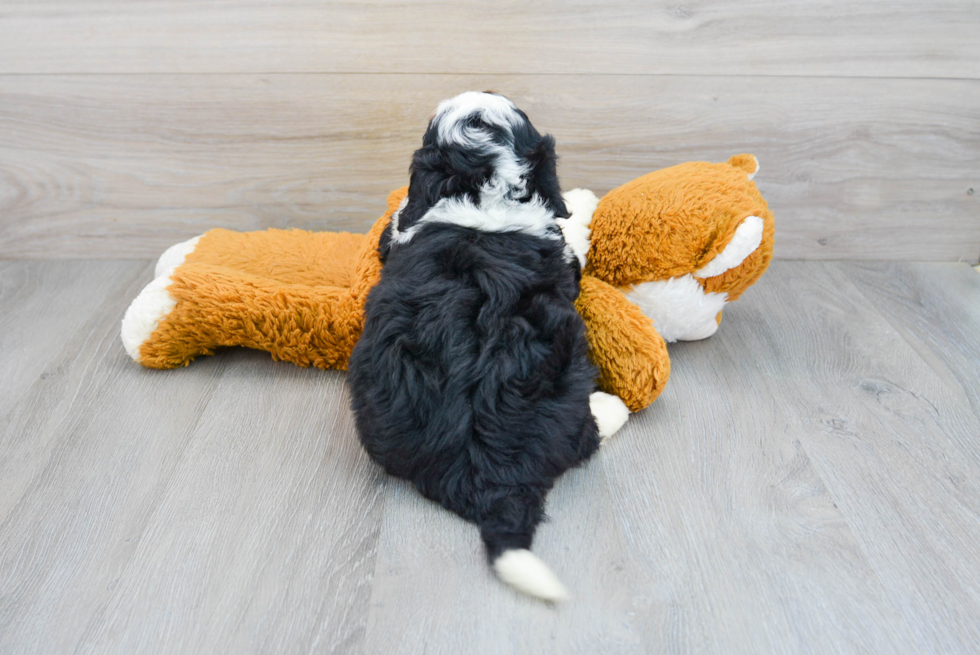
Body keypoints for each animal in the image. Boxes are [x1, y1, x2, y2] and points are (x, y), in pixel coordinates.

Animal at [348, 92, 632, 604]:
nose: (477, 95)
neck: (482, 190)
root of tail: (489, 477)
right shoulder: (564, 258)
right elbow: (571, 232)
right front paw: (581, 200)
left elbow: (400, 219)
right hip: (566, 377)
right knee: (584, 438)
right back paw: (612, 406)